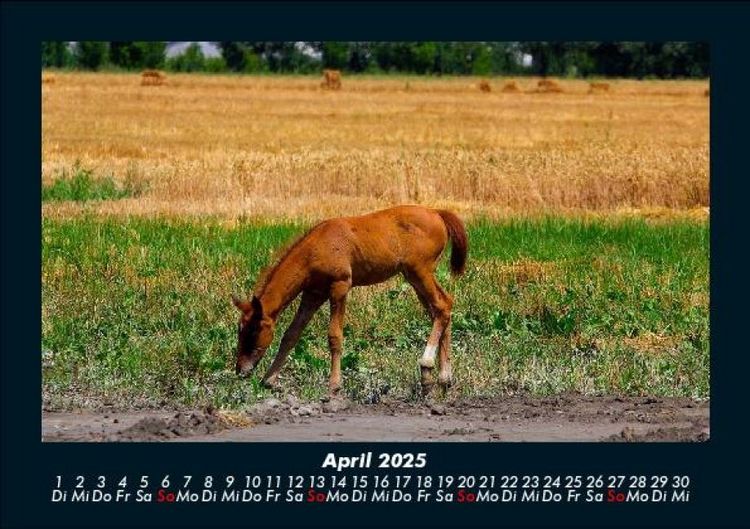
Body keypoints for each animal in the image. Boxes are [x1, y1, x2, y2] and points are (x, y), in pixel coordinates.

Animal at [232, 205, 468, 396]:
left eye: (254, 330)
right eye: (240, 330)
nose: (240, 369)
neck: (316, 248)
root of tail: (436, 212)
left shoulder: (340, 286)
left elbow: (334, 336)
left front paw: (334, 385)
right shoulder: (313, 294)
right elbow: (291, 334)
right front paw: (269, 380)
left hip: (420, 271)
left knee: (442, 306)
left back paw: (427, 367)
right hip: (414, 277)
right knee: (441, 308)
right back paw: (443, 379)